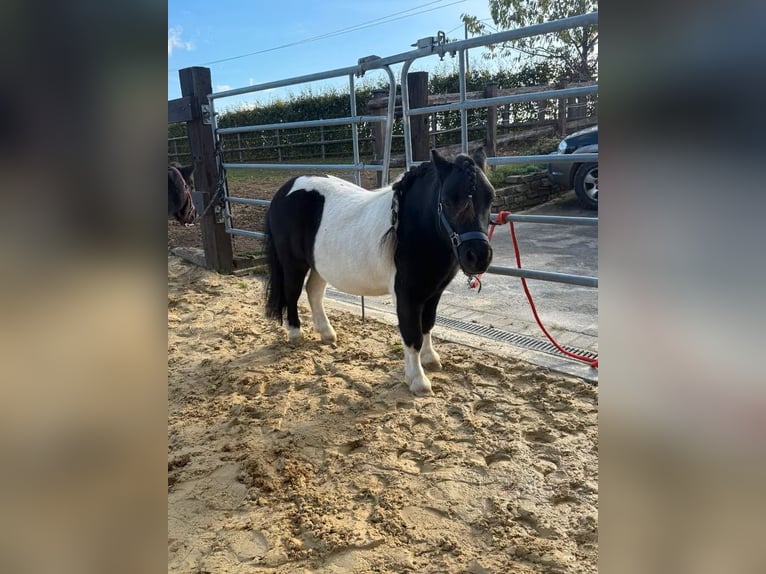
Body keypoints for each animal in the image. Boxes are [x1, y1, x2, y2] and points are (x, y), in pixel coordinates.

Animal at [264, 148, 495, 396]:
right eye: (448, 201)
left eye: (490, 198)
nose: (478, 257)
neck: (410, 227)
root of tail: (285, 189)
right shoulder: (406, 294)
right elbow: (412, 334)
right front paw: (418, 381)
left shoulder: (434, 292)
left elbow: (427, 324)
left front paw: (430, 359)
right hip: (293, 263)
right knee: (292, 293)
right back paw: (295, 334)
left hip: (319, 265)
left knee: (313, 292)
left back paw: (327, 333)